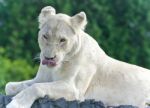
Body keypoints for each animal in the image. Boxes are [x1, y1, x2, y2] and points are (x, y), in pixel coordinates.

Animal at [5, 6, 150, 108]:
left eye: (62, 40)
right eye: (45, 36)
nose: (49, 58)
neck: (57, 67)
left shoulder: (73, 89)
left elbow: (38, 87)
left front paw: (16, 104)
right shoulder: (40, 79)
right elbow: (10, 86)